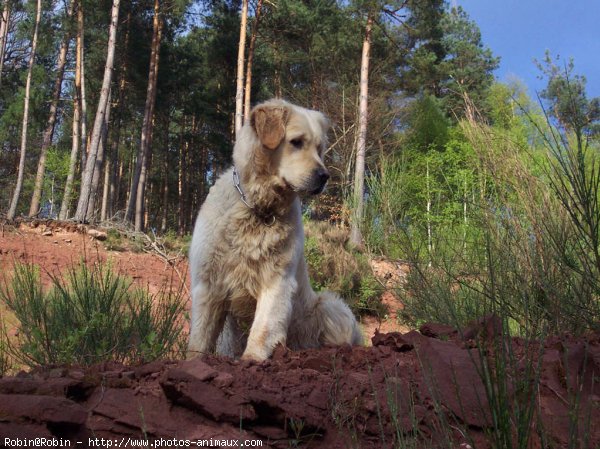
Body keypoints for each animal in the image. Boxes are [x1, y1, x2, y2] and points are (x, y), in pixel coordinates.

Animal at [188, 99, 364, 360]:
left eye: (319, 148)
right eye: (296, 142)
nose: (324, 176)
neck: (259, 209)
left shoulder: (277, 279)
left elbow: (263, 327)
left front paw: (252, 359)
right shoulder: (208, 282)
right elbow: (199, 338)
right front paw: (191, 361)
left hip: (329, 305)